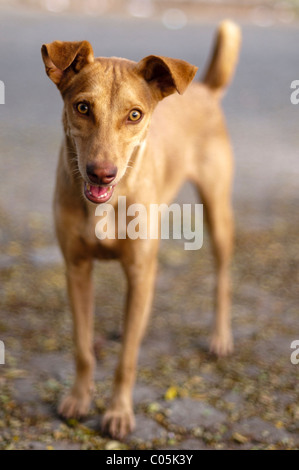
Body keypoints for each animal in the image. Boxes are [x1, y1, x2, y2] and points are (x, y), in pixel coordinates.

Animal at [41, 21, 241, 440]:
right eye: (82, 107)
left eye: (135, 114)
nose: (102, 173)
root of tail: (204, 89)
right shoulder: (77, 269)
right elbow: (83, 347)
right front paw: (79, 399)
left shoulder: (138, 269)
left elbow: (128, 359)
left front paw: (118, 412)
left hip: (217, 211)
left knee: (222, 276)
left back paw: (220, 337)